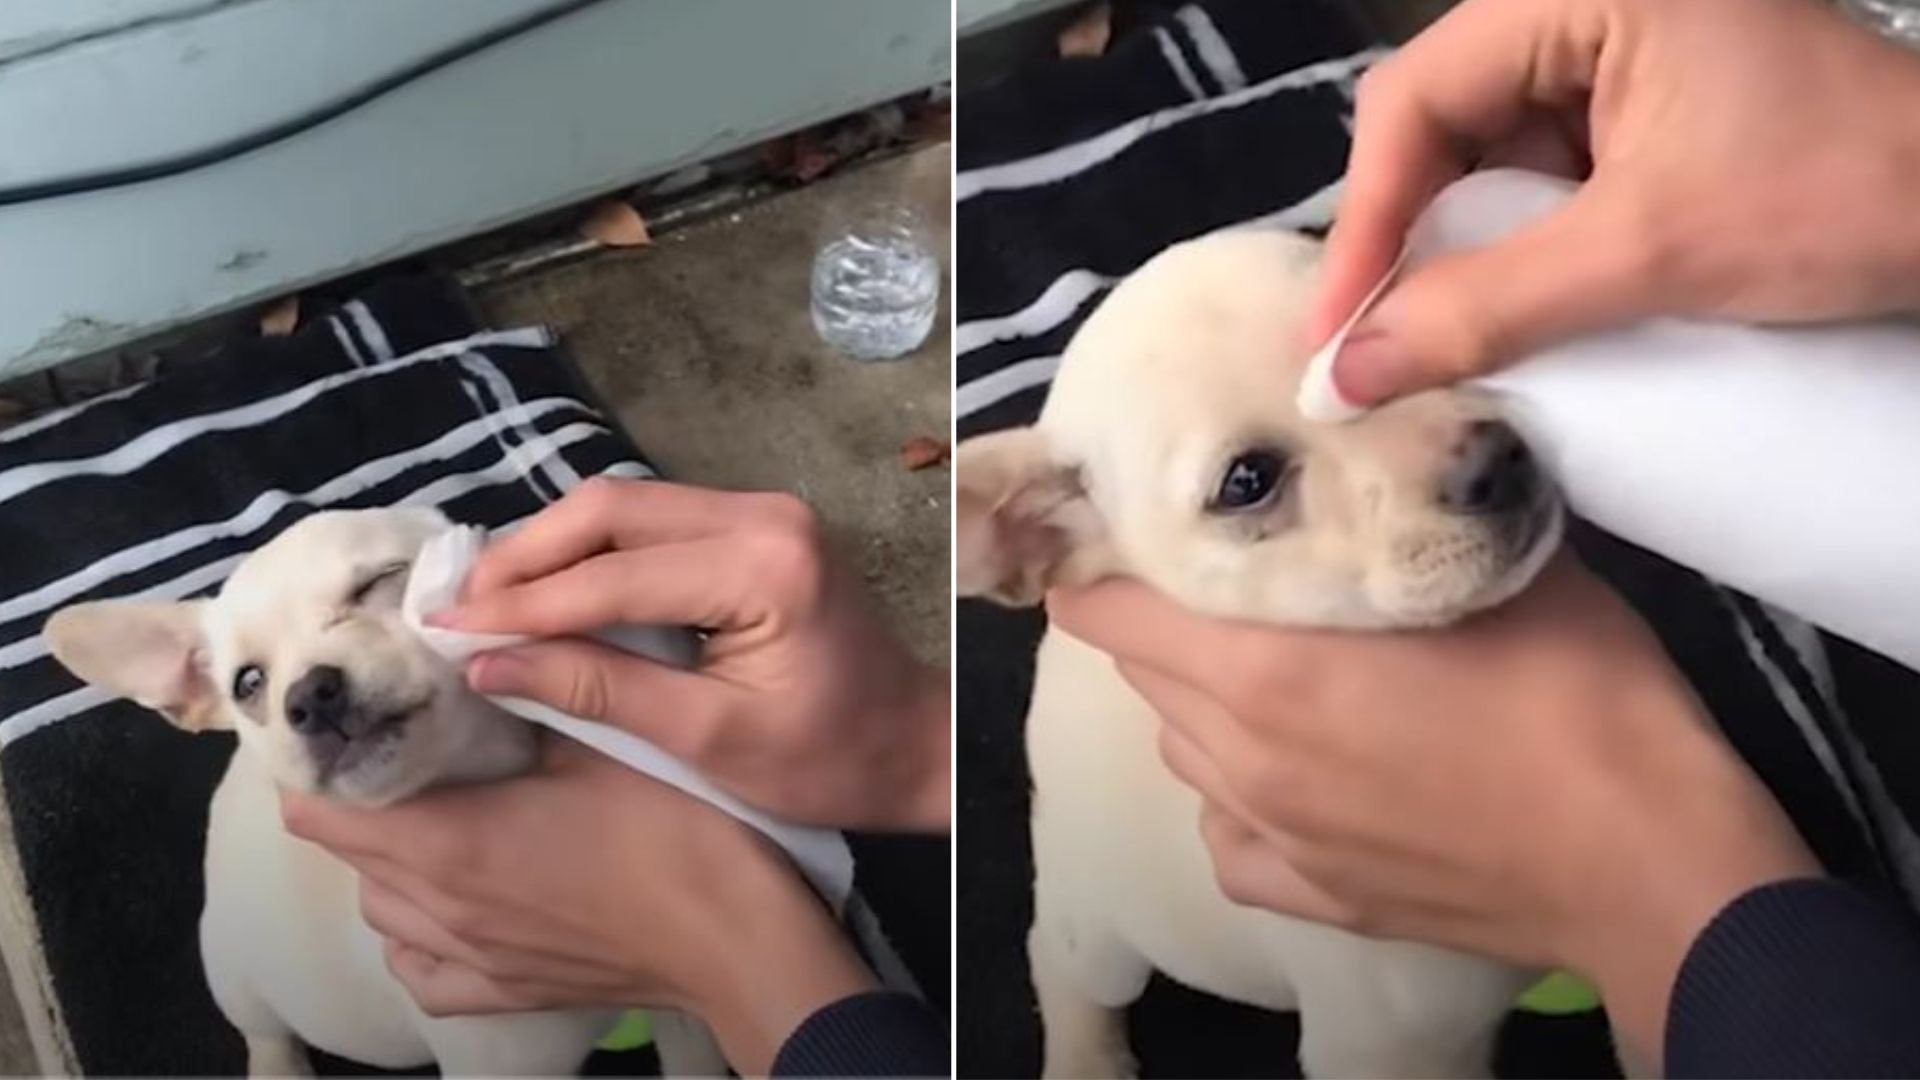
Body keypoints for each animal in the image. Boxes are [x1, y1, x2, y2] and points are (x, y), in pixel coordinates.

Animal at [52, 507, 729, 1076]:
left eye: (380, 583)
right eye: (247, 683)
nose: (309, 695)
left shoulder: (686, 1015)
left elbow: (695, 1060)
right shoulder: (502, 1065)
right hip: (230, 967)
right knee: (265, 1031)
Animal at [952, 228, 1566, 1076]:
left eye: (1380, 325)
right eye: (1248, 481)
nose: (1494, 458)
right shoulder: (1388, 1048)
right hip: (1103, 935)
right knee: (1062, 961)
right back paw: (1087, 1058)